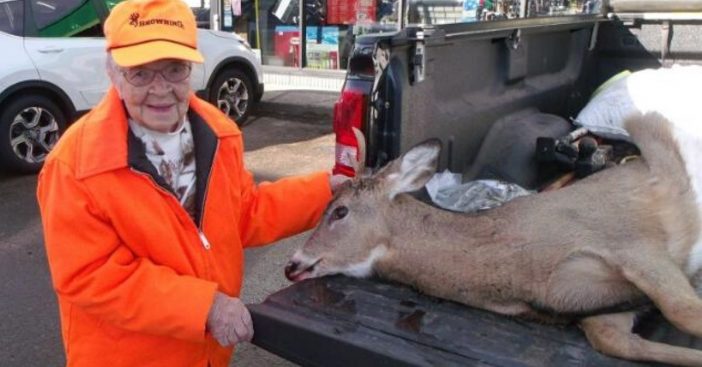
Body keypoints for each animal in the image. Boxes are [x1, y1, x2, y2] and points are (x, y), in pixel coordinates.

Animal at [286, 113, 702, 366]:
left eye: (340, 212)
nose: (292, 264)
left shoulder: (630, 240)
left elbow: (684, 311)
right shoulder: (598, 310)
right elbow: (618, 339)